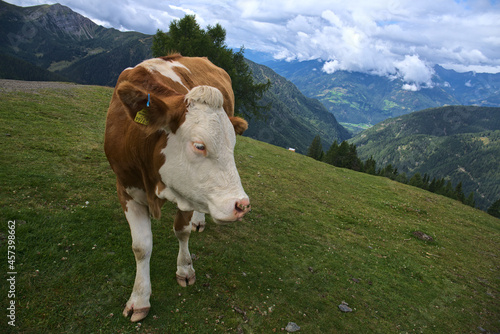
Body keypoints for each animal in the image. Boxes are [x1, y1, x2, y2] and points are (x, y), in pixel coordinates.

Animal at [106, 54, 254, 320]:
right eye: (199, 146)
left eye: (232, 146)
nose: (242, 205)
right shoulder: (125, 187)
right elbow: (141, 246)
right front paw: (139, 299)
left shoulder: (189, 192)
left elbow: (181, 231)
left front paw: (185, 269)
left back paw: (199, 220)